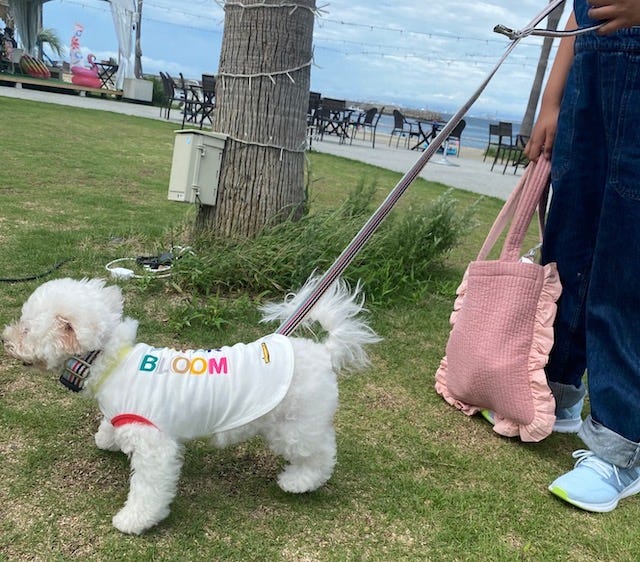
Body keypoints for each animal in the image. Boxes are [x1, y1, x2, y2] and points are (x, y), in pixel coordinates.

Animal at [1, 276, 380, 532]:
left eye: (26, 328)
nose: (5, 340)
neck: (107, 358)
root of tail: (324, 353)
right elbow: (110, 425)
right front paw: (106, 438)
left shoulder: (155, 445)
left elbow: (148, 489)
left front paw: (134, 520)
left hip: (293, 425)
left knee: (321, 454)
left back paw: (299, 481)